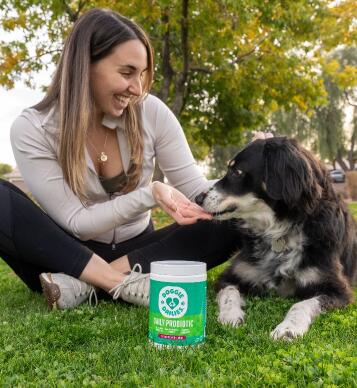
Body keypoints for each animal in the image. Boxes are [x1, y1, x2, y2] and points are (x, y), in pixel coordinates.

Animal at [196, 136, 354, 340]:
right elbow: (229, 293)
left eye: (236, 172)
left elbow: (302, 304)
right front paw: (230, 315)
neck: (279, 230)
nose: (197, 199)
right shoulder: (231, 275)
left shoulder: (338, 290)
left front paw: (288, 328)